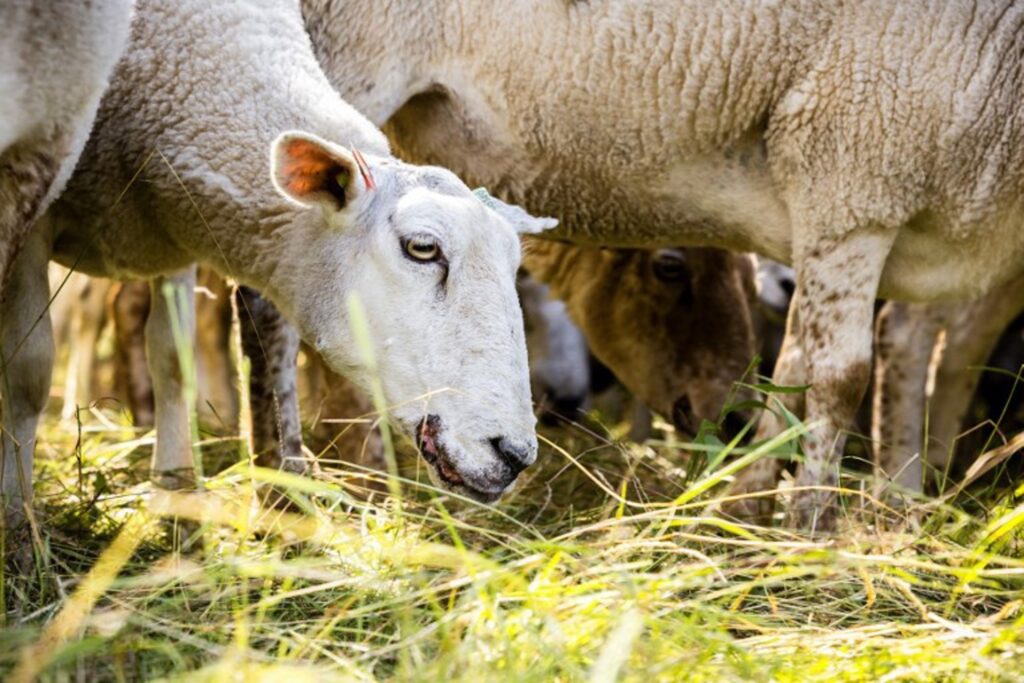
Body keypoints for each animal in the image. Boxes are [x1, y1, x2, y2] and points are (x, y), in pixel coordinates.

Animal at [2, 0, 561, 528]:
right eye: (422, 247)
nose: (514, 455)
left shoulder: (172, 230)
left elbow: (172, 358)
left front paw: (176, 493)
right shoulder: (37, 203)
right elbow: (29, 371)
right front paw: (19, 519)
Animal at [303, 0, 1024, 528]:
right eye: (670, 268)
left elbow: (817, 368)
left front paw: (752, 512)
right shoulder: (854, 173)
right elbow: (834, 376)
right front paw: (802, 530)